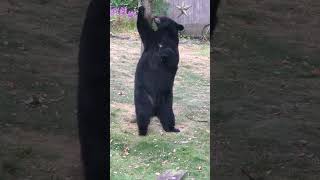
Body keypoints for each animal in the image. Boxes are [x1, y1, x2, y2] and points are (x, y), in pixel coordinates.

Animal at [134, 5, 184, 136]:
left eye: (165, 17)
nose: (156, 16)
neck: (164, 35)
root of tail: (155, 111)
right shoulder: (151, 39)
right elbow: (142, 28)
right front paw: (141, 9)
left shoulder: (174, 47)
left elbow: (173, 57)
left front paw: (164, 52)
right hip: (143, 97)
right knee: (142, 114)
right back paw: (142, 131)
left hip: (166, 102)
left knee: (169, 117)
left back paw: (173, 129)